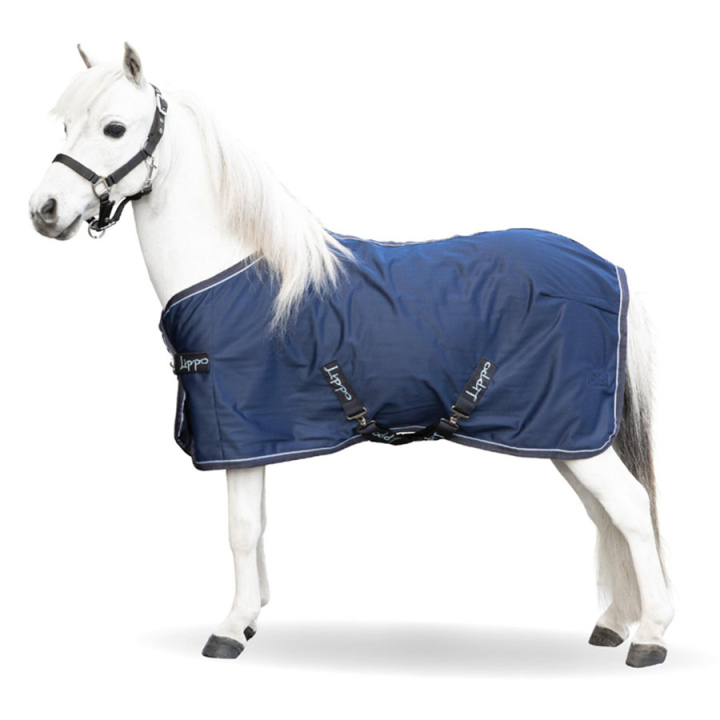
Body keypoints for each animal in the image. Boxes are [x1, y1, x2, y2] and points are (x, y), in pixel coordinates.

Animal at [28, 43, 673, 668]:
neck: (241, 274)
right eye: (65, 126)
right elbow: (258, 526)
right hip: (566, 438)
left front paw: (231, 628)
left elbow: (241, 528)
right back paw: (614, 622)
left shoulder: (238, 431)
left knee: (630, 509)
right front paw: (252, 615)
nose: (44, 210)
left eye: (114, 128)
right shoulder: (258, 438)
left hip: (573, 433)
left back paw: (651, 636)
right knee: (605, 515)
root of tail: (607, 270)